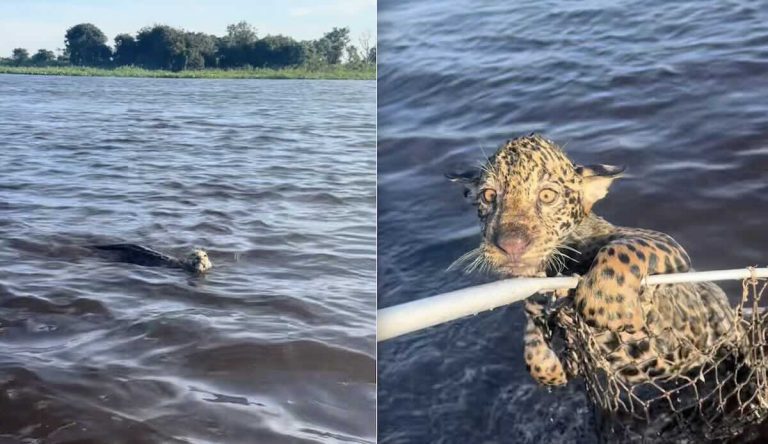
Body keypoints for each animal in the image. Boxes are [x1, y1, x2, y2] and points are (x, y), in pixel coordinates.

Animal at [449, 134, 740, 387]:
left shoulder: (665, 243)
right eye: (488, 196)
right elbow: (534, 358)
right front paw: (556, 367)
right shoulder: (538, 313)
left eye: (547, 196)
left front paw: (604, 302)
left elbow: (622, 249)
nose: (510, 245)